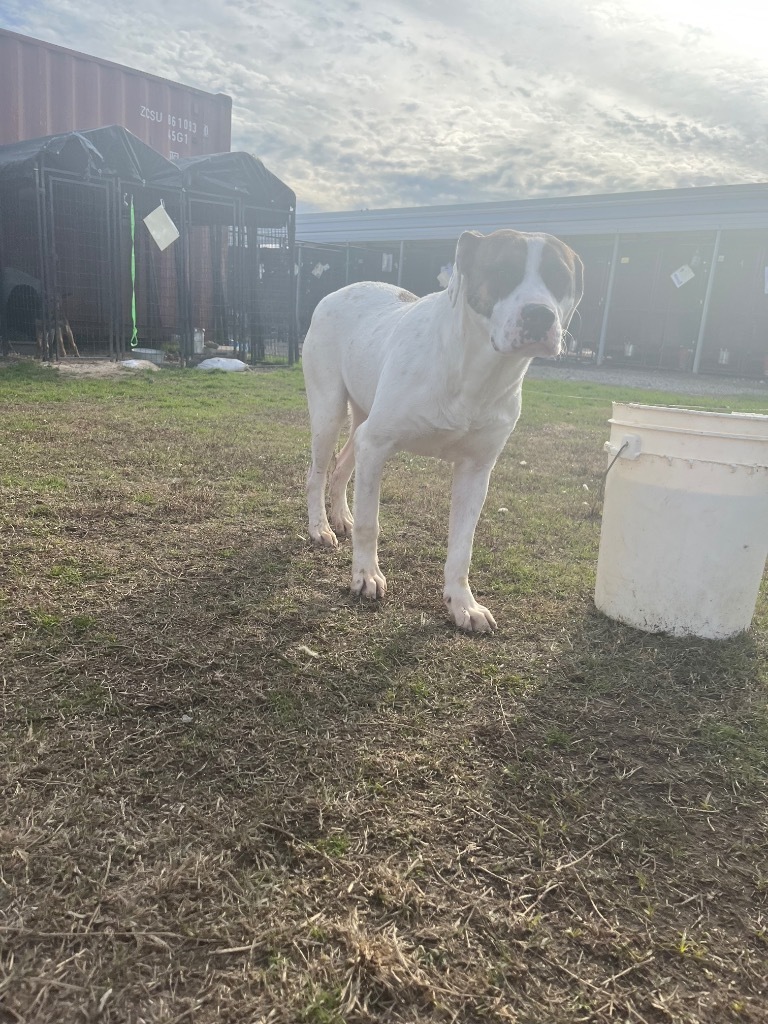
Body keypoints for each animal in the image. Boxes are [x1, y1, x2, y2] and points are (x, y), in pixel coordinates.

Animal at [301, 231, 581, 626]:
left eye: (560, 279)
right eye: (502, 271)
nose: (540, 314)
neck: (478, 373)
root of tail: (339, 290)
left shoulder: (476, 470)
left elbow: (463, 546)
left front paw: (462, 603)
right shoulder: (376, 444)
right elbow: (370, 523)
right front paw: (366, 575)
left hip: (361, 421)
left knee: (341, 468)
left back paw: (340, 518)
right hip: (329, 411)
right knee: (317, 473)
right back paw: (320, 528)